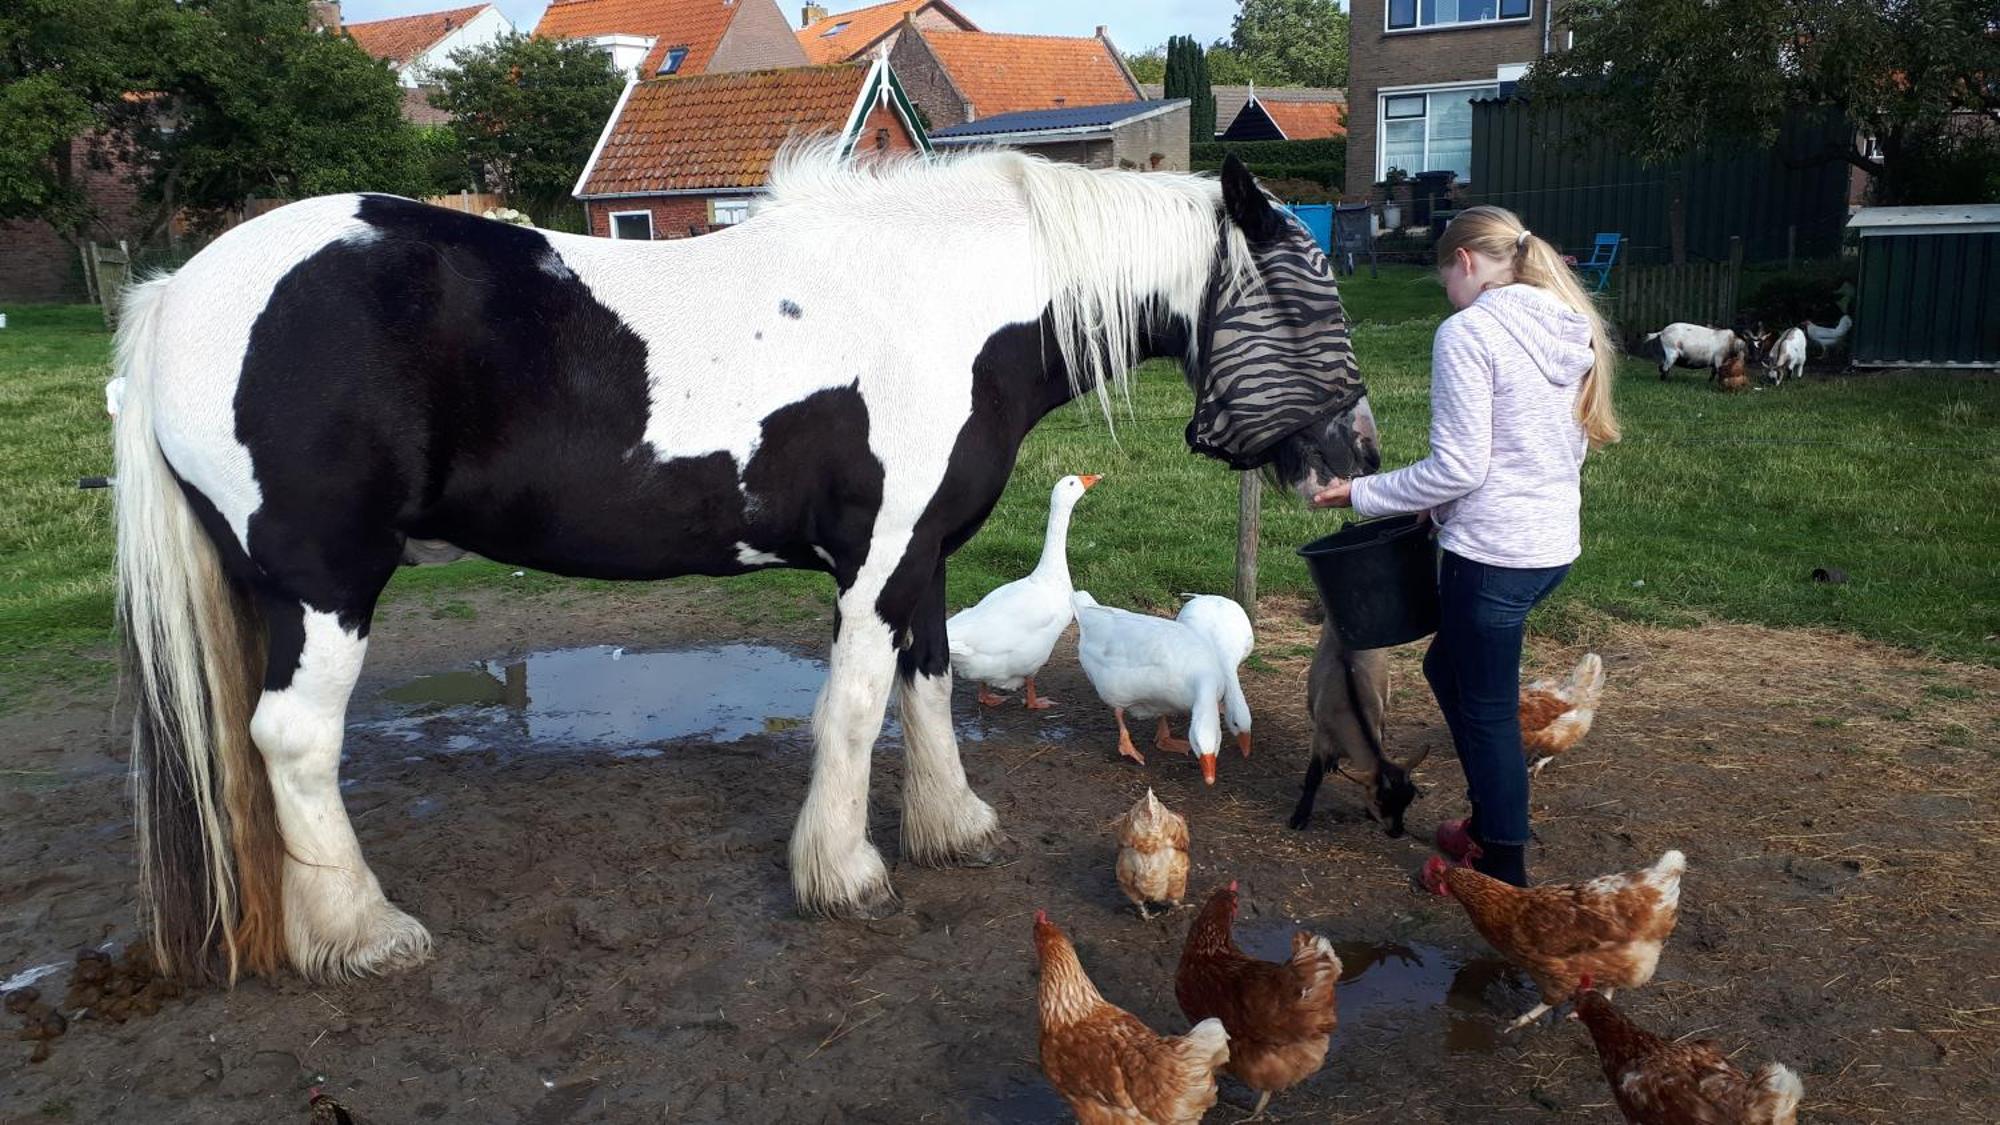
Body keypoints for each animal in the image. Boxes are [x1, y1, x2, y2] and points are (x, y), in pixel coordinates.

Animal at [117, 144, 1384, 976]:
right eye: (1305, 292)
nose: (1354, 456)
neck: (937, 309)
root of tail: (179, 290)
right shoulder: (872, 562)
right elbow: (855, 707)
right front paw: (842, 872)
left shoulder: (918, 559)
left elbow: (927, 690)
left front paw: (950, 828)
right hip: (326, 586)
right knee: (293, 740)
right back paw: (362, 933)